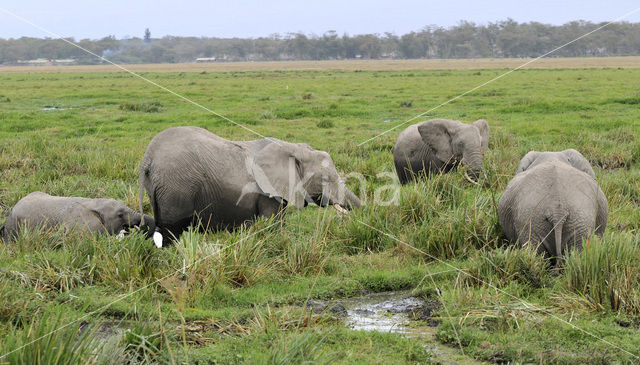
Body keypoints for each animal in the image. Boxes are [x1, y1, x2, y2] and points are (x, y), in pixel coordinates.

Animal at [138, 126, 362, 246]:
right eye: (325, 179)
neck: (291, 147)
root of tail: (148, 159)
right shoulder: (266, 192)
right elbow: (272, 222)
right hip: (176, 187)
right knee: (171, 231)